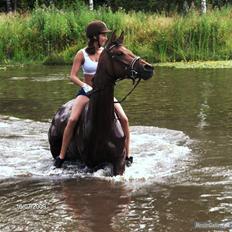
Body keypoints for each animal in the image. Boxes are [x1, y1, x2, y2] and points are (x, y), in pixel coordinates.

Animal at [48, 31, 154, 176]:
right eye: (119, 53)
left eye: (129, 50)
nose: (148, 68)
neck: (102, 125)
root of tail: (59, 111)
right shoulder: (92, 164)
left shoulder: (119, 162)